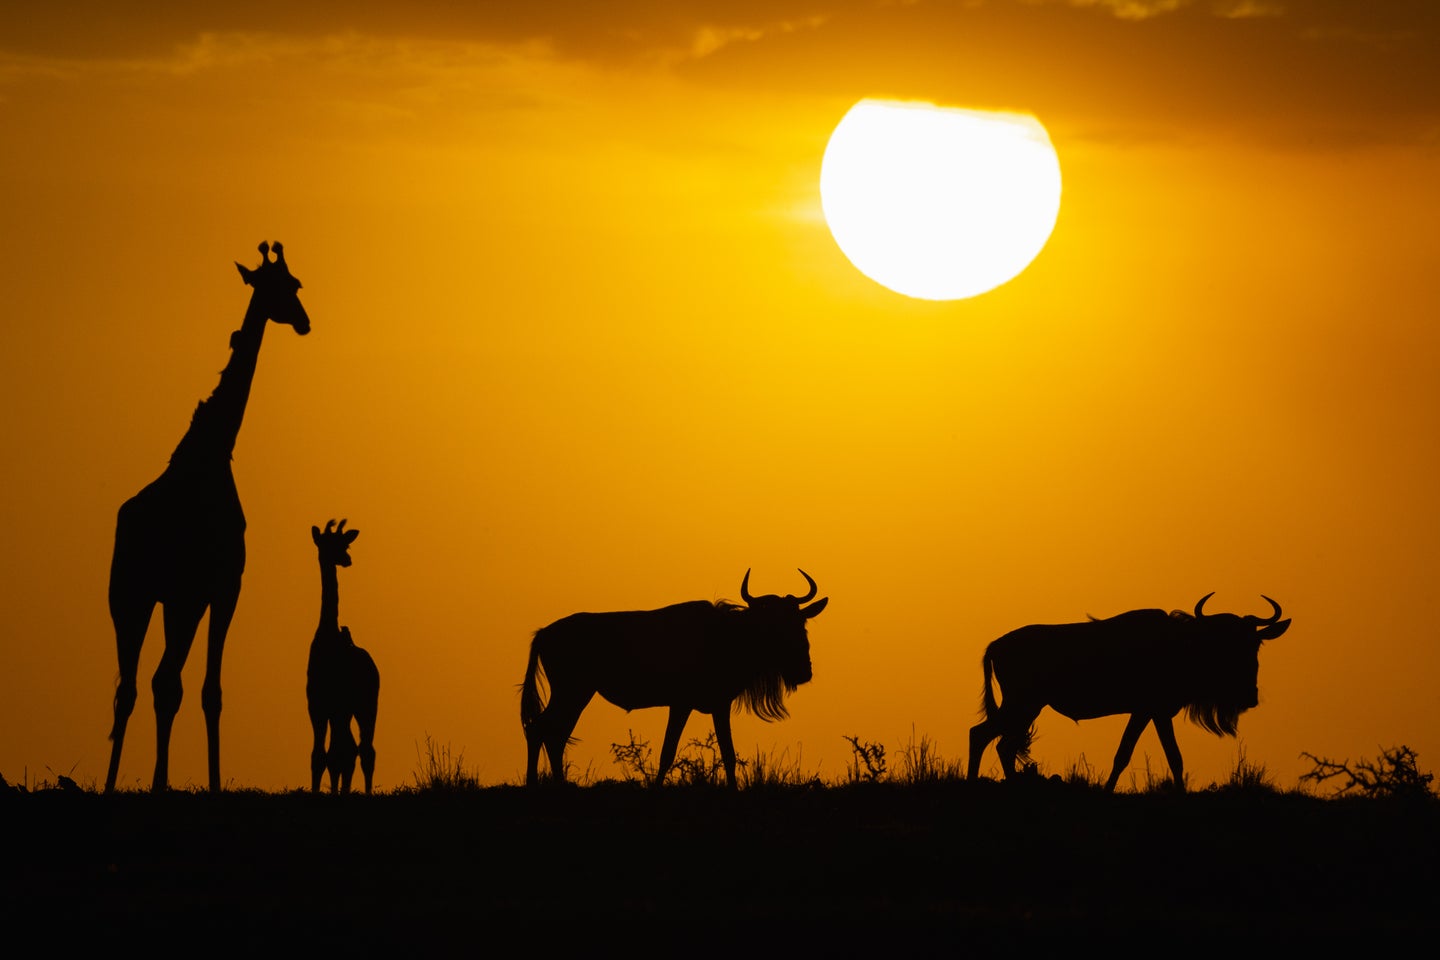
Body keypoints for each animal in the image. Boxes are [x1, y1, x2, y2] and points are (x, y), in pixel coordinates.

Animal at [105, 241, 311, 794]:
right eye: (285, 287)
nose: (305, 321)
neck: (215, 449)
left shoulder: (200, 593)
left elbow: (194, 688)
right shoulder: (221, 587)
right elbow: (200, 689)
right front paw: (199, 783)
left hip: (150, 600)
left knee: (142, 683)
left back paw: (131, 783)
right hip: (151, 598)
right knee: (147, 684)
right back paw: (134, 784)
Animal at [306, 521, 380, 794]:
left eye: (344, 545)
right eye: (327, 544)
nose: (347, 560)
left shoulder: (333, 704)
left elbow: (330, 754)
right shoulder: (317, 704)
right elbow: (320, 755)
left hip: (367, 703)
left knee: (365, 749)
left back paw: (366, 792)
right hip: (346, 710)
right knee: (347, 749)